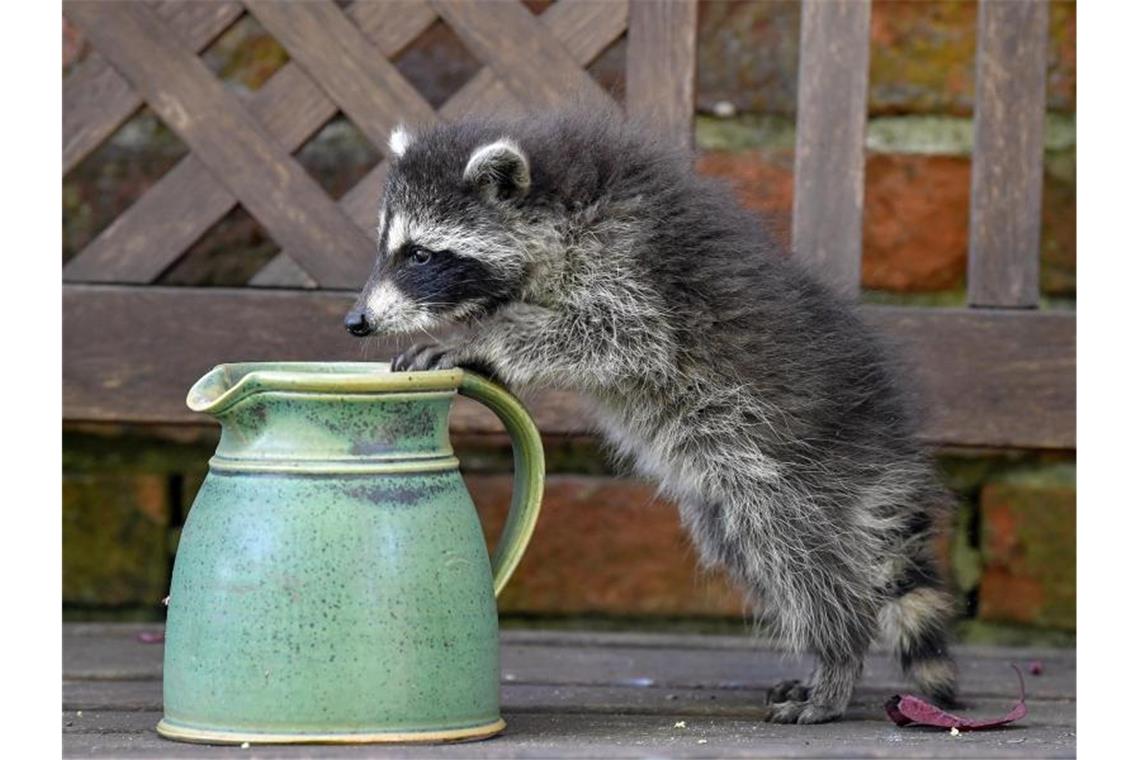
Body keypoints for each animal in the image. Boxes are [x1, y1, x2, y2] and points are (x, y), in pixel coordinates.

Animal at [342, 109, 957, 724]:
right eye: (386, 247)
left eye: (420, 254)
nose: (357, 321)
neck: (559, 202)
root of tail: (884, 443)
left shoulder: (627, 265)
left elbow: (618, 336)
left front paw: (481, 342)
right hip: (733, 486)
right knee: (751, 546)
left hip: (788, 465)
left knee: (797, 554)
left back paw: (838, 653)